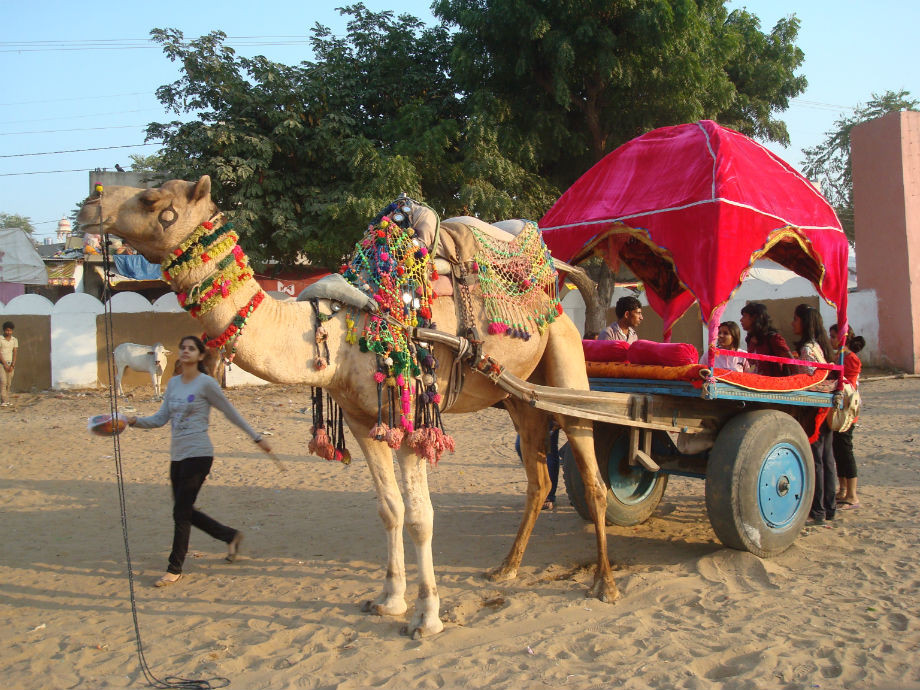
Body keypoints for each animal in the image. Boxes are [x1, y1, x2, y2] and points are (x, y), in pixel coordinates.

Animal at [75, 175, 616, 636]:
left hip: (564, 356)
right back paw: (506, 569)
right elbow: (389, 509)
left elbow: (421, 517)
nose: (89, 205)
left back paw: (604, 584)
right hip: (517, 395)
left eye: (152, 199)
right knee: (538, 476)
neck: (341, 327)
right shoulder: (361, 419)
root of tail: (556, 274)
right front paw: (389, 600)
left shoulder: (411, 417)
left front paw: (427, 619)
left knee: (590, 469)